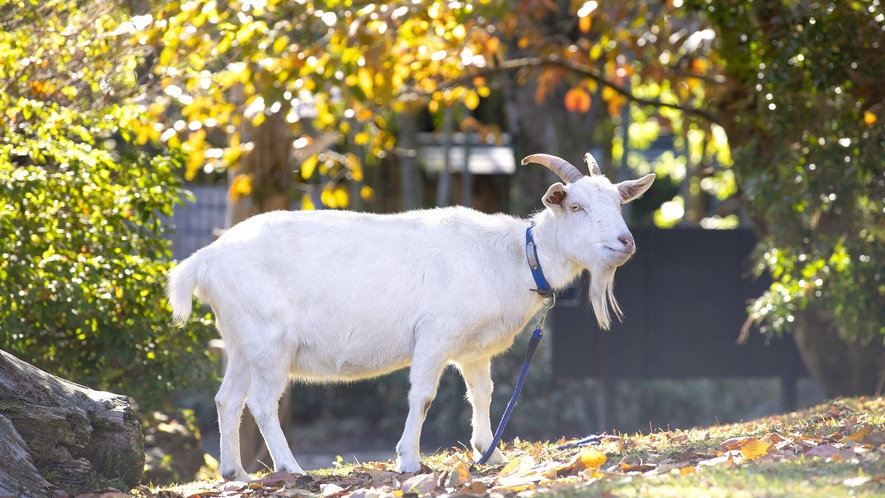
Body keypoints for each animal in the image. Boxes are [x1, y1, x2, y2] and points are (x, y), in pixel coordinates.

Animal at [167, 154, 648, 480]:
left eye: (618, 203)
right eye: (576, 207)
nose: (625, 242)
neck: (513, 255)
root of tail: (205, 259)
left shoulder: (473, 349)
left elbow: (483, 394)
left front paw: (490, 452)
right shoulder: (434, 336)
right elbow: (424, 396)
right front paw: (409, 460)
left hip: (240, 341)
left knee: (227, 399)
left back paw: (236, 473)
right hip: (270, 342)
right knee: (262, 403)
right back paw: (293, 469)